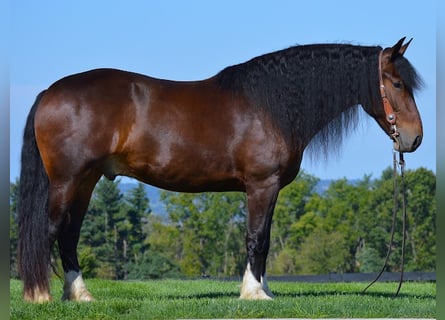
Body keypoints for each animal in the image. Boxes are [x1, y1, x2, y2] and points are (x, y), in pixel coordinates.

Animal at [16, 38, 420, 302]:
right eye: (398, 83)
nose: (414, 138)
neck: (272, 107)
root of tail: (49, 92)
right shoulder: (261, 185)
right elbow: (257, 238)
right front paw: (255, 294)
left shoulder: (268, 189)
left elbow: (264, 239)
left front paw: (262, 289)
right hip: (67, 181)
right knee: (49, 230)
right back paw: (39, 296)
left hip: (86, 181)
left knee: (69, 235)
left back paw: (80, 295)